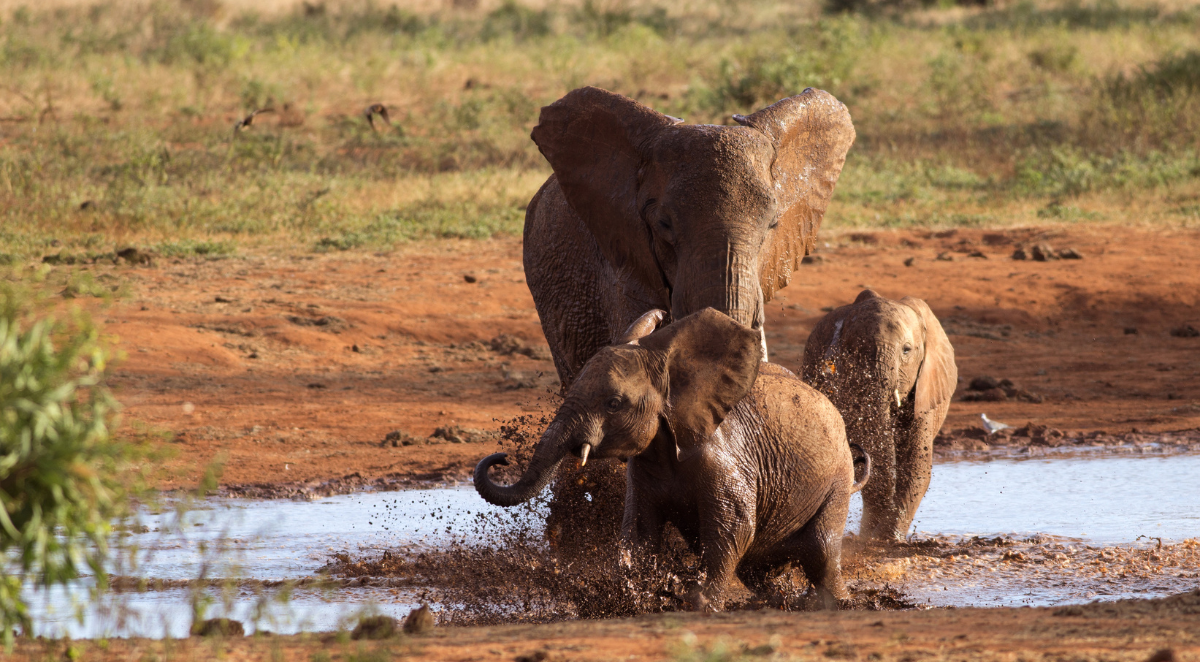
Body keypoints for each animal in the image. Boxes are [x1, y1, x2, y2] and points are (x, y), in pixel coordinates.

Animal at [475, 309, 870, 611]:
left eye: (614, 403)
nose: (500, 458)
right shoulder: (644, 466)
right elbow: (639, 531)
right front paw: (637, 597)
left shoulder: (723, 459)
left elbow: (735, 526)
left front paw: (698, 604)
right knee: (759, 568)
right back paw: (779, 600)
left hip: (836, 479)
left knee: (820, 549)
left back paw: (836, 604)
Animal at [801, 289, 957, 542]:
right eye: (853, 350)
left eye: (906, 350)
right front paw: (874, 538)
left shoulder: (926, 386)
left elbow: (916, 465)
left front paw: (888, 539)